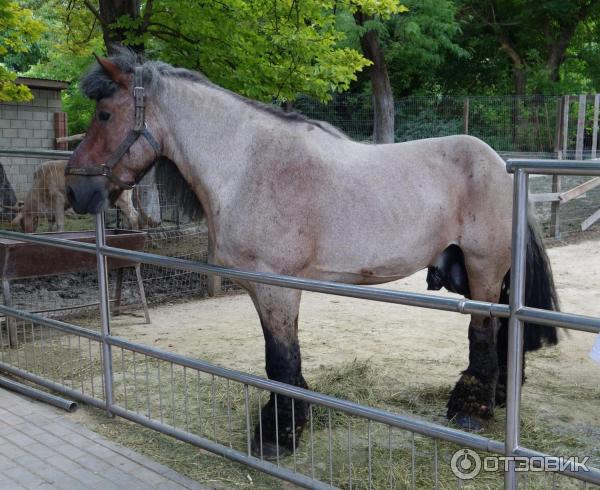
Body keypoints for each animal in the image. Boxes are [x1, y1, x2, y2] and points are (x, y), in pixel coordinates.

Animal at [65, 51, 556, 458]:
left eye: (105, 114)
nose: (74, 190)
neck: (249, 166)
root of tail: (503, 166)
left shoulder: (276, 287)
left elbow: (281, 362)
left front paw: (278, 437)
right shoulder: (269, 290)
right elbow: (285, 362)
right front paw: (288, 420)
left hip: (483, 268)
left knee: (483, 334)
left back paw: (472, 411)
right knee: (502, 333)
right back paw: (498, 399)